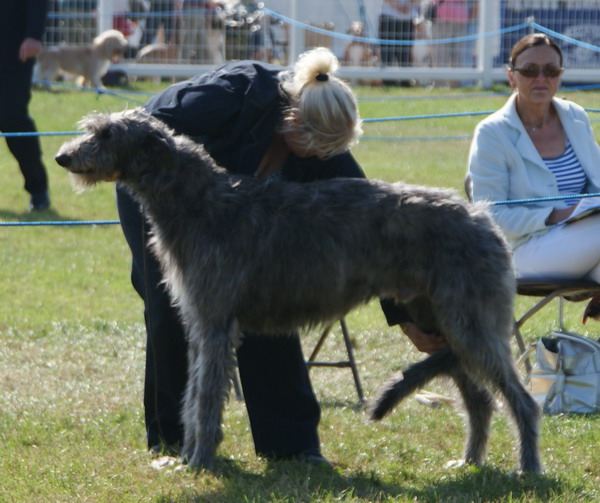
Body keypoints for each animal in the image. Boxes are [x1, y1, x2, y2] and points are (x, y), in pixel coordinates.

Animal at [56, 109, 540, 472]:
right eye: (93, 129)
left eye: (107, 134)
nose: (63, 156)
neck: (197, 201)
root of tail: (482, 216)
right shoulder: (201, 322)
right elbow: (194, 392)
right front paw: (192, 456)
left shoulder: (215, 323)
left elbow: (206, 396)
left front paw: (198, 461)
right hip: (438, 320)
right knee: (479, 398)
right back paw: (470, 461)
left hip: (470, 320)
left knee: (522, 400)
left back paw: (528, 468)